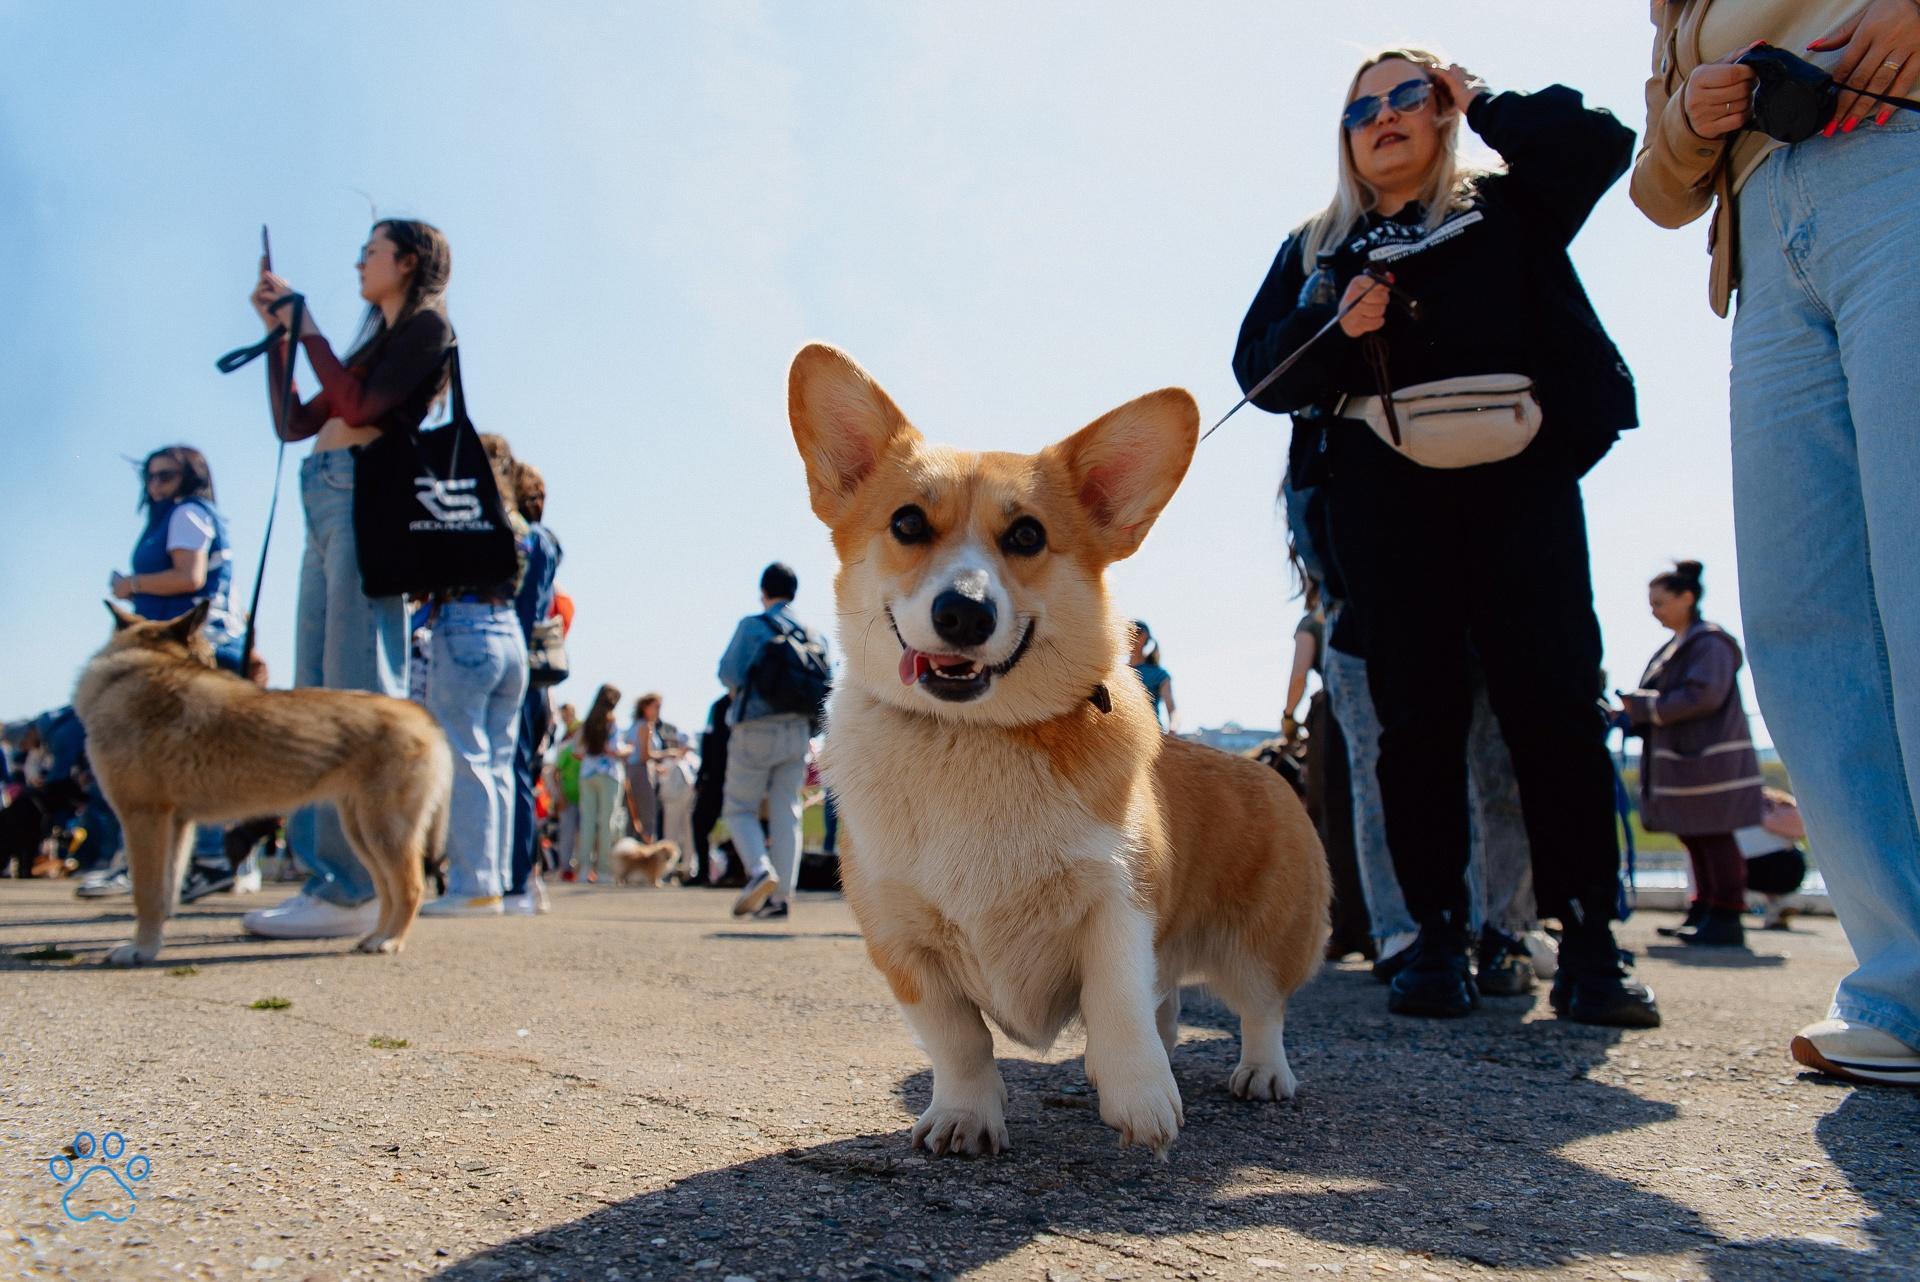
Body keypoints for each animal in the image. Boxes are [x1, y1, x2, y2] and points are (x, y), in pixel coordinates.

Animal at [72, 606, 451, 967]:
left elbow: (147, 894)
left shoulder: (144, 817)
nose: (223, 669)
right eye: (208, 655)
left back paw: (392, 940)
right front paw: (152, 946)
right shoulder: (174, 824)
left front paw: (140, 949)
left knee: (411, 887)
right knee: (387, 889)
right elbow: (165, 894)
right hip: (362, 832)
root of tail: (423, 718)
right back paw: (376, 936)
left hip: (384, 831)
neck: (134, 670)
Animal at [787, 345, 1328, 1159]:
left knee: (1261, 1009)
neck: (976, 737)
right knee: (1170, 1002)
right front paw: (965, 1117)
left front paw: (1141, 1099)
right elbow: (959, 1041)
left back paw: (1262, 1074)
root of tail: (1264, 765)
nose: (964, 612)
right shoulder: (903, 943)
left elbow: (1116, 1001)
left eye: (1028, 536)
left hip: (1262, 943)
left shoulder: (1119, 899)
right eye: (907, 522)